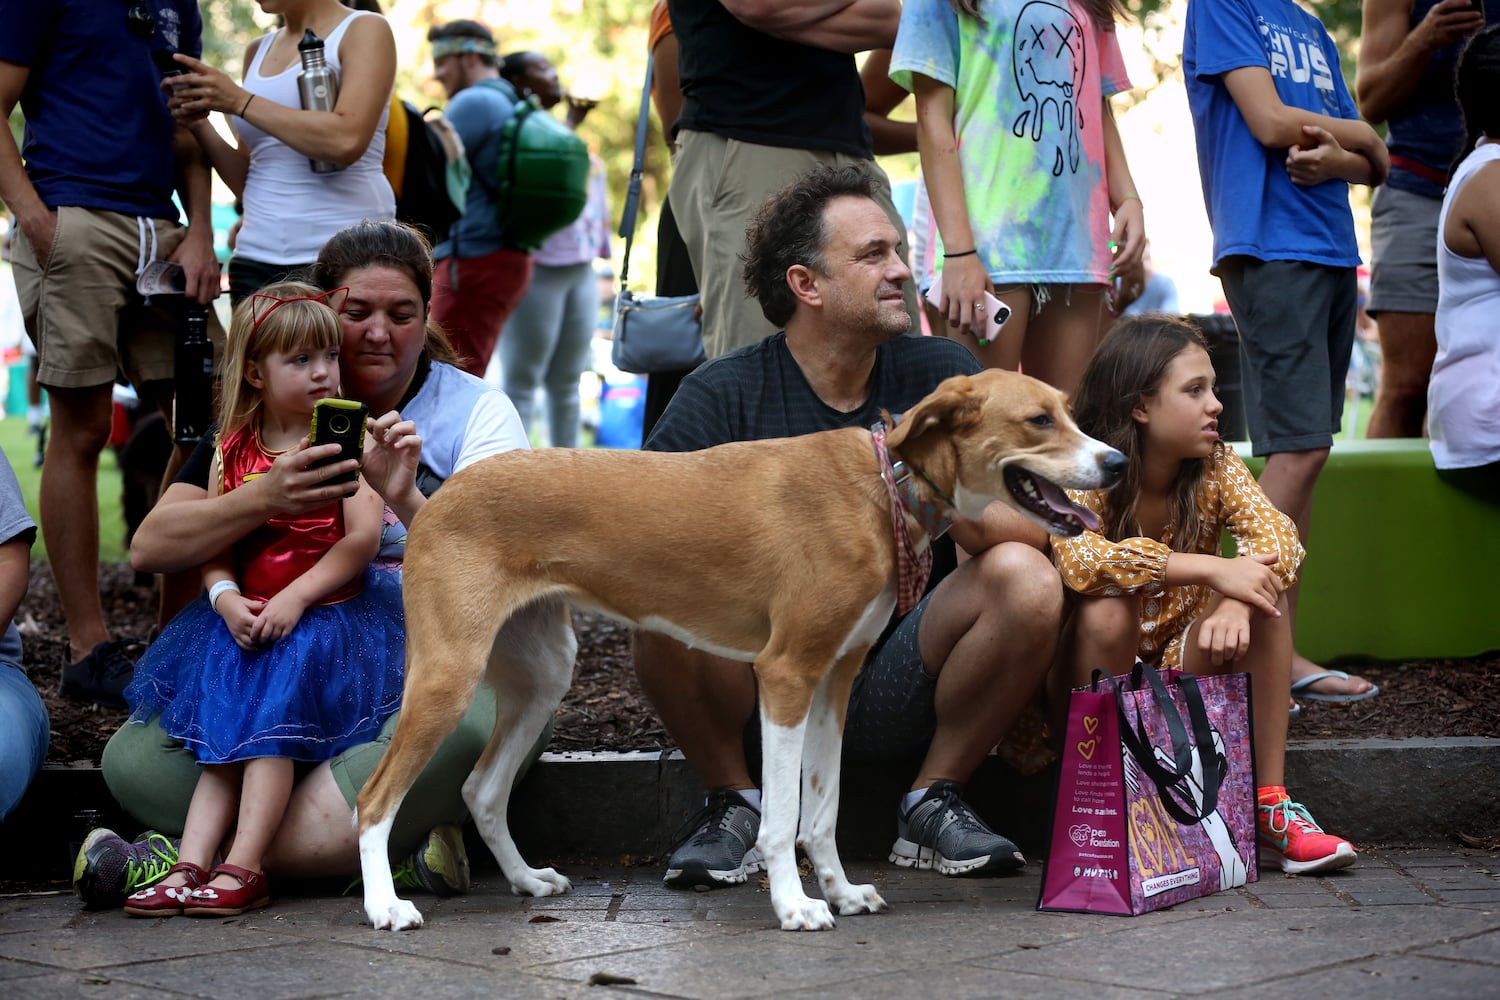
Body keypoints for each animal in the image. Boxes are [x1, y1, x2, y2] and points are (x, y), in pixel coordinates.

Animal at [354, 367, 1128, 929]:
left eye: (1069, 410)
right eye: (1039, 420)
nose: (1119, 460)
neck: (885, 487)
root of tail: (440, 496)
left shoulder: (833, 682)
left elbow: (823, 810)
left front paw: (841, 893)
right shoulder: (786, 675)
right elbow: (782, 817)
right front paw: (794, 906)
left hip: (543, 674)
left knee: (482, 788)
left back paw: (523, 880)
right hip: (448, 675)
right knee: (373, 799)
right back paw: (385, 907)